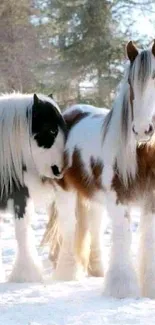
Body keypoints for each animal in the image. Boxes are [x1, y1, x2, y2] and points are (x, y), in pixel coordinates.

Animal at [40, 41, 155, 298]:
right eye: (131, 82)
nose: (143, 130)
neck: (142, 153)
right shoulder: (119, 201)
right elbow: (123, 238)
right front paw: (122, 290)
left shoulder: (152, 202)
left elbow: (149, 241)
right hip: (66, 193)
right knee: (69, 228)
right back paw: (68, 273)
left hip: (94, 198)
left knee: (92, 224)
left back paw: (97, 270)